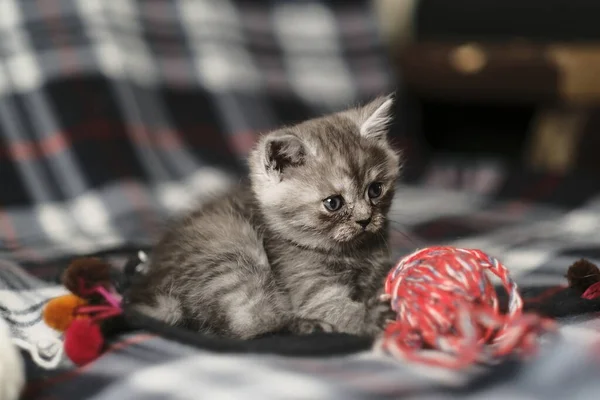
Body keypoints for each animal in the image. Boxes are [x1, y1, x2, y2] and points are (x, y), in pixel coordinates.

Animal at [126, 95, 400, 340]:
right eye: (333, 203)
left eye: (375, 190)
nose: (365, 219)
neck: (352, 253)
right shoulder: (311, 292)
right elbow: (338, 310)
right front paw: (374, 318)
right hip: (234, 253)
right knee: (248, 325)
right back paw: (307, 326)